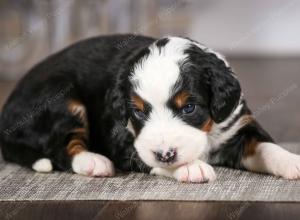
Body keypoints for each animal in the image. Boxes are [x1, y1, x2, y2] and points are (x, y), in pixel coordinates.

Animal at [0, 34, 300, 182]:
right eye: (139, 111)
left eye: (189, 107)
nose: (166, 153)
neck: (207, 132)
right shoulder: (123, 139)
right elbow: (146, 158)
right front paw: (191, 168)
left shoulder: (238, 126)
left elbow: (268, 148)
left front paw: (292, 161)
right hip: (61, 97)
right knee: (62, 148)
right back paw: (94, 162)